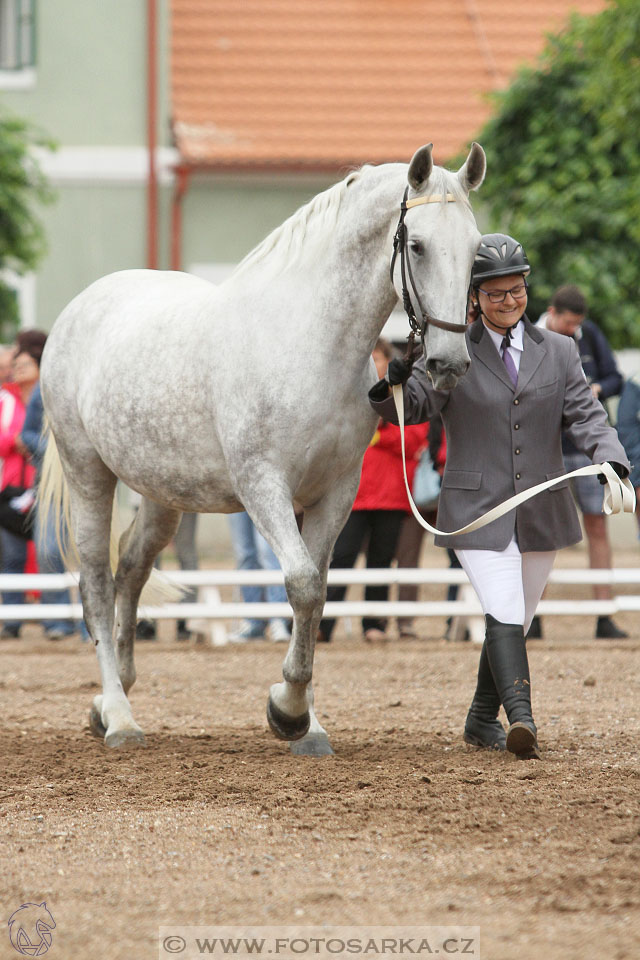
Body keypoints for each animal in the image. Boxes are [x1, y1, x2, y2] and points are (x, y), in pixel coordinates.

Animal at [38, 146, 484, 752]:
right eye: (416, 245)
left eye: (475, 246)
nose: (449, 362)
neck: (310, 343)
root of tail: (79, 309)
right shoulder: (262, 485)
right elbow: (301, 585)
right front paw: (288, 711)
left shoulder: (335, 493)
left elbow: (317, 593)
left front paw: (305, 722)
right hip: (88, 474)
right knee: (95, 583)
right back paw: (121, 718)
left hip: (163, 493)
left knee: (131, 567)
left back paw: (113, 700)